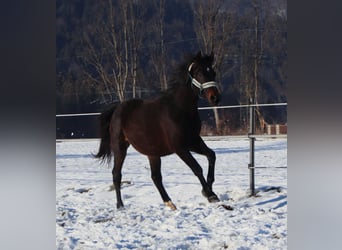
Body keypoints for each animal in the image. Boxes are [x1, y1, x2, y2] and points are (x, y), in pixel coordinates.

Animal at [95, 51, 220, 210]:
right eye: (199, 73)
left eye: (213, 73)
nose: (215, 98)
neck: (180, 110)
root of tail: (117, 108)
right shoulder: (180, 148)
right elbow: (197, 168)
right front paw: (210, 194)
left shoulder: (193, 141)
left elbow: (211, 156)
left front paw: (208, 191)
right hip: (120, 148)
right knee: (116, 174)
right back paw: (120, 205)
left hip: (152, 153)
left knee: (155, 177)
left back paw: (170, 203)